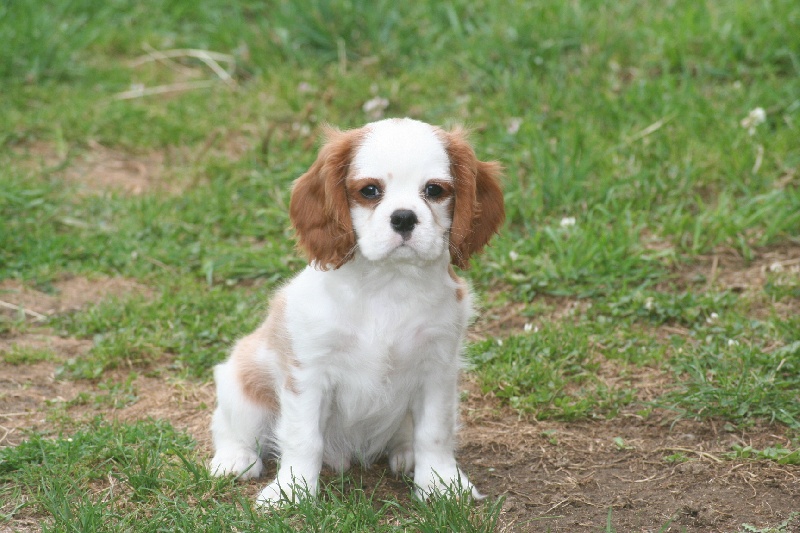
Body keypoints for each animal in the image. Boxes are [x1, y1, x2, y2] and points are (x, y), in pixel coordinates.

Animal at [209, 116, 504, 502]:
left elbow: (435, 432)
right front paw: (292, 492)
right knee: (231, 426)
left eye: (434, 190)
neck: (388, 283)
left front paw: (440, 483)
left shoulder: (437, 369)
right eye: (370, 191)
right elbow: (303, 438)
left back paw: (405, 454)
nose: (404, 218)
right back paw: (234, 458)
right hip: (242, 383)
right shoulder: (308, 374)